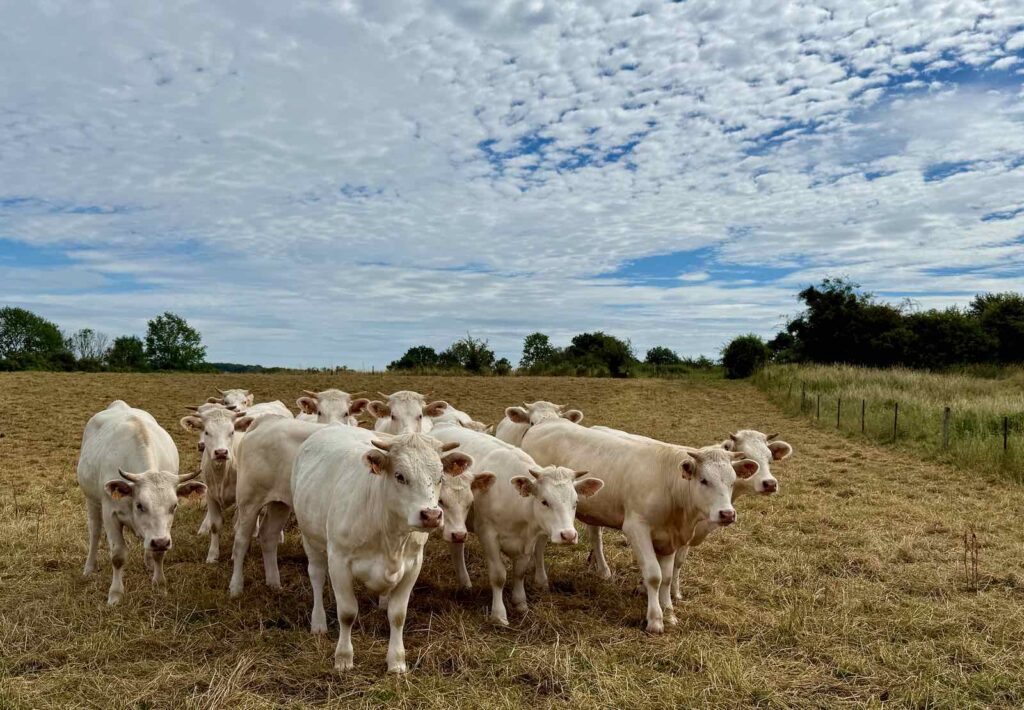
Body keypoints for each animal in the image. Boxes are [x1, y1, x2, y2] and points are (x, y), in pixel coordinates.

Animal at [77, 401, 205, 605]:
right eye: (140, 505)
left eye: (174, 506)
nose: (160, 542)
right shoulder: (110, 514)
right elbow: (118, 555)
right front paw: (115, 594)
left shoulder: (161, 533)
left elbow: (159, 554)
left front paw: (159, 585)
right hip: (92, 500)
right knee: (95, 532)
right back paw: (89, 567)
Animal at [179, 406, 256, 562]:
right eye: (207, 432)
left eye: (231, 432)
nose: (221, 452)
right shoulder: (210, 495)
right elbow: (215, 525)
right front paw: (212, 555)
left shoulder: (241, 499)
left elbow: (238, 526)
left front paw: (235, 553)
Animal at [291, 429, 472, 674]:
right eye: (400, 476)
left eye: (440, 478)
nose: (431, 515)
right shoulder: (339, 560)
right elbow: (347, 612)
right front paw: (344, 657)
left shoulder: (413, 564)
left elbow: (398, 615)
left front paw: (396, 661)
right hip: (310, 537)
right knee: (317, 576)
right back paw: (318, 623)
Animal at [431, 425, 603, 624]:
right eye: (544, 502)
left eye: (576, 502)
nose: (568, 535)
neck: (517, 506)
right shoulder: (488, 535)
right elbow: (498, 576)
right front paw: (499, 614)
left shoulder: (529, 539)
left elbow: (520, 572)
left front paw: (520, 603)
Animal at [521, 418, 758, 633]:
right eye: (704, 480)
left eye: (732, 481)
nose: (727, 513)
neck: (670, 487)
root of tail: (545, 422)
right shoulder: (637, 528)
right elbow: (654, 575)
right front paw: (655, 620)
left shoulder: (670, 539)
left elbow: (667, 577)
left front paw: (669, 613)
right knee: (540, 545)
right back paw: (541, 579)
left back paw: (603, 571)